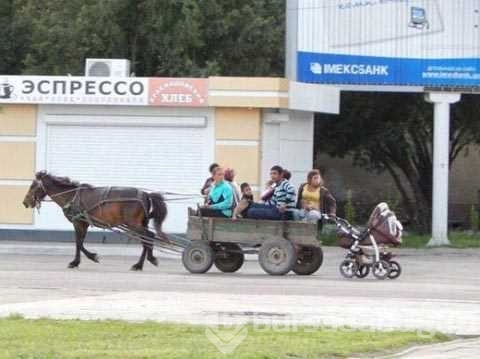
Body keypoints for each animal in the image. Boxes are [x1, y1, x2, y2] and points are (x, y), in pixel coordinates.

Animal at [23, 172, 169, 270]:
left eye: (33, 186)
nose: (25, 202)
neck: (72, 196)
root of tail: (146, 194)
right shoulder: (84, 223)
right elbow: (80, 243)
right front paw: (82, 260)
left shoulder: (78, 223)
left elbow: (78, 243)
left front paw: (83, 260)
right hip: (139, 224)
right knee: (146, 240)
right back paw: (140, 264)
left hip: (133, 224)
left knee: (149, 236)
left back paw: (146, 261)